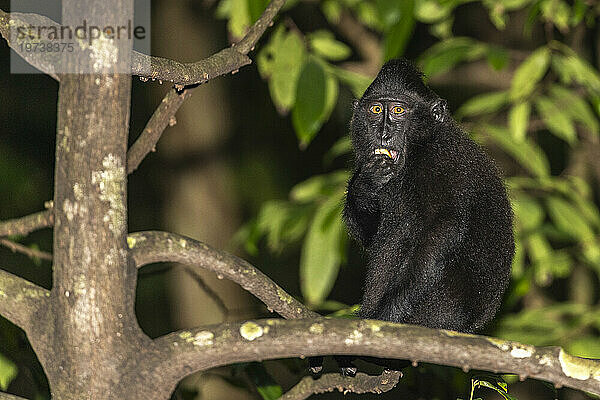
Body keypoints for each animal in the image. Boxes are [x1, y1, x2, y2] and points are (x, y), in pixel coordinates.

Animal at [344, 58, 512, 334]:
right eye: (376, 109)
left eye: (398, 110)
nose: (383, 133)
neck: (418, 150)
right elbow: (371, 236)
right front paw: (365, 185)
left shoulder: (441, 163)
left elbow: (441, 231)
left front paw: (388, 315)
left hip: (443, 305)